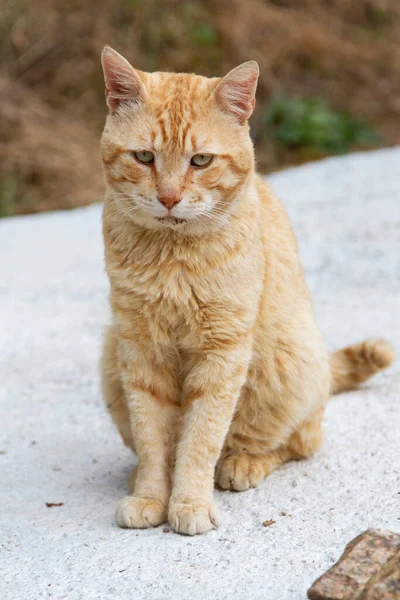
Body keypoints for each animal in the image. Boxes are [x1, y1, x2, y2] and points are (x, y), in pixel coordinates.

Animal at [99, 47, 394, 536]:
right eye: (144, 157)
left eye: (201, 161)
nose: (168, 198)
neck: (173, 257)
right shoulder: (140, 349)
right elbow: (153, 436)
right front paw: (150, 494)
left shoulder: (222, 352)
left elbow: (200, 438)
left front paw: (190, 502)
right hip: (109, 359)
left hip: (290, 362)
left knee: (298, 441)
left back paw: (243, 463)